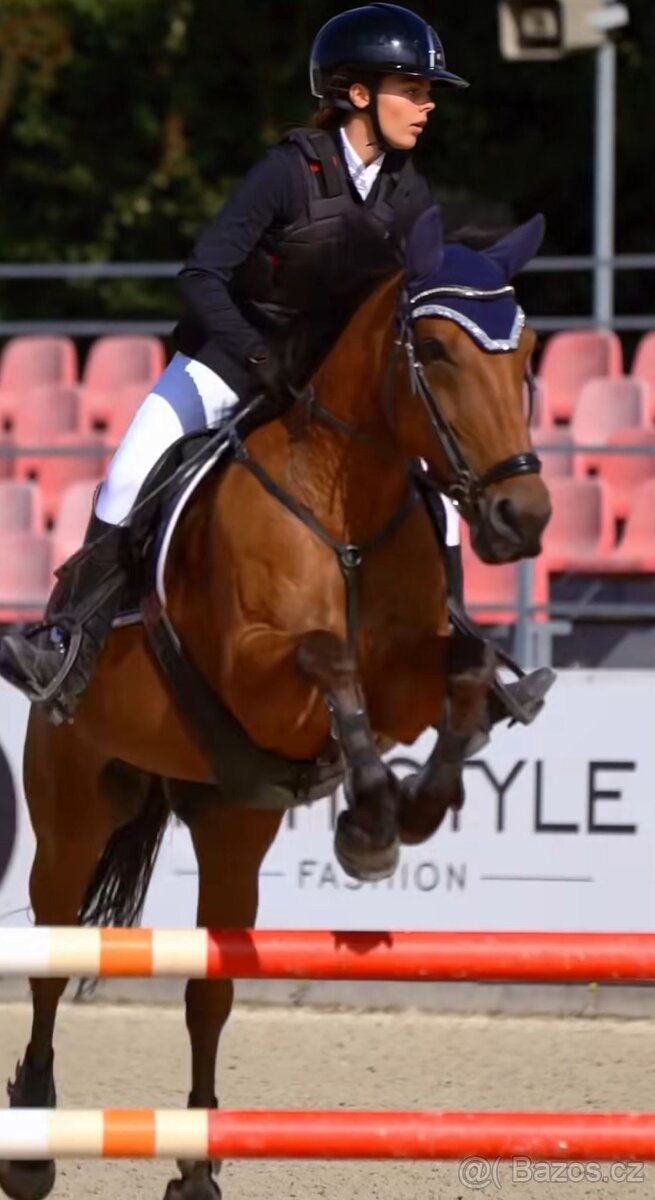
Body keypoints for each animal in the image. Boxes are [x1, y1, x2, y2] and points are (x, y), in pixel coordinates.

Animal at [0, 205, 551, 1200]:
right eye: (435, 350)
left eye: (524, 350)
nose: (519, 520)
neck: (346, 502)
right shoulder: (259, 676)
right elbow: (328, 661)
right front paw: (369, 816)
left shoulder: (403, 676)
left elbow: (454, 678)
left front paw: (398, 813)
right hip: (71, 814)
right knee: (54, 956)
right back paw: (31, 1141)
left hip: (232, 827)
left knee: (208, 989)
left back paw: (197, 1167)